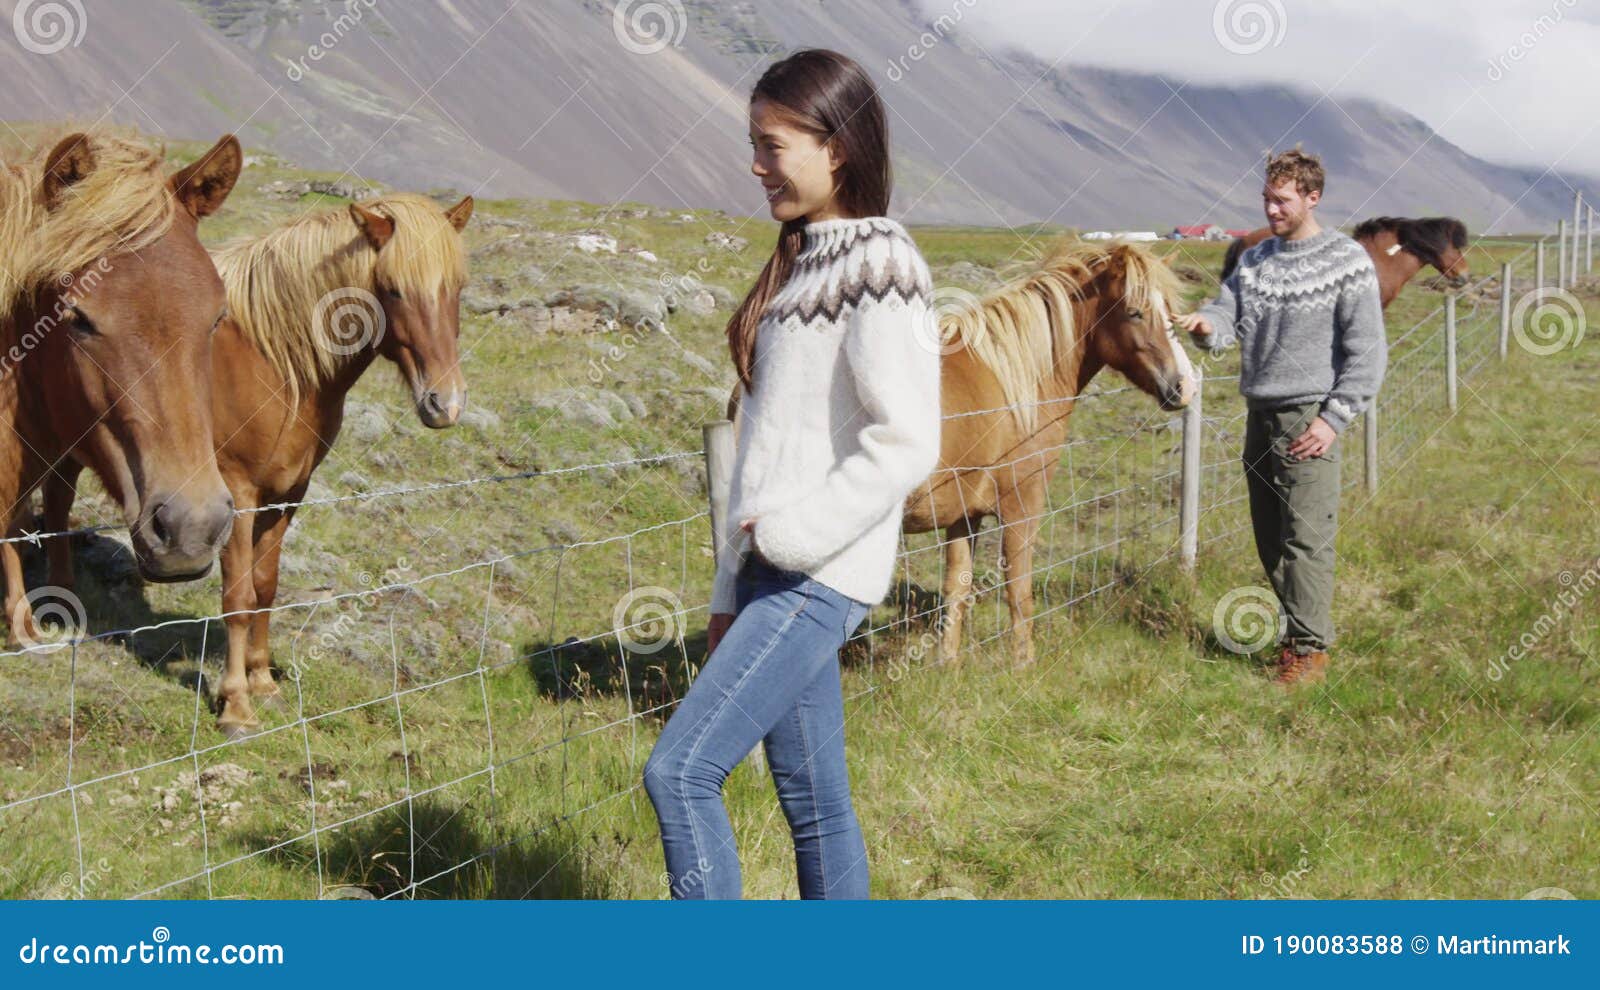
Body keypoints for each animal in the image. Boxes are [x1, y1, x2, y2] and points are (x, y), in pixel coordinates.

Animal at [0, 129, 240, 642]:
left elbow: (54, 503)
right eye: (78, 318)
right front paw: (21, 623)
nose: (191, 527)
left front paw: (61, 591)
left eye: (217, 317)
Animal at [42, 191, 467, 735]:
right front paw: (236, 706)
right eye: (392, 290)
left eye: (457, 288)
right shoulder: (236, 498)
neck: (273, 363)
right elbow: (238, 598)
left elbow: (265, 587)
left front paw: (264, 684)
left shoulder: (287, 496)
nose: (445, 404)